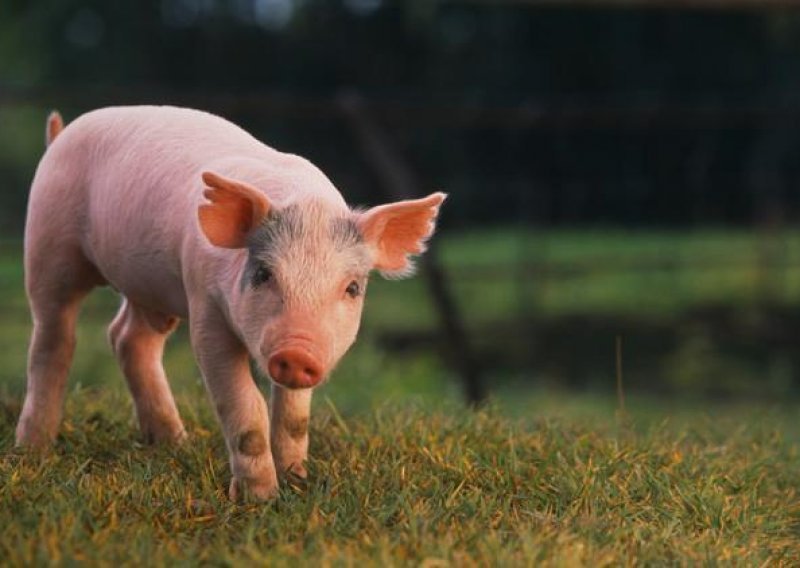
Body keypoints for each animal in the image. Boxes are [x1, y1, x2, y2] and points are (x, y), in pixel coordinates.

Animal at [17, 105, 444, 496]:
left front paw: (297, 481)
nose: (297, 353)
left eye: (352, 288)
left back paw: (174, 443)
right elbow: (244, 402)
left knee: (127, 336)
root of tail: (61, 134)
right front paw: (260, 500)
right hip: (47, 239)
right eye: (263, 274)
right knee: (53, 336)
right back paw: (33, 450)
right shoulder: (203, 303)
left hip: (150, 287)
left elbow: (294, 415)